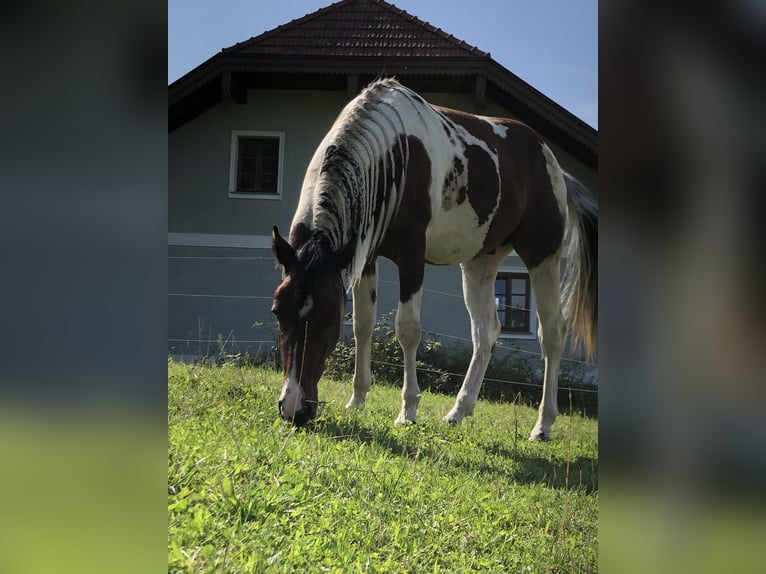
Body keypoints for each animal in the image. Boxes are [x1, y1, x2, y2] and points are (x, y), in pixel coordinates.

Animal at [272, 79, 600, 444]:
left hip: (542, 257)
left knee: (552, 333)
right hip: (480, 264)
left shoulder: (412, 256)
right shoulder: (363, 257)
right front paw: (357, 400)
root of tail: (554, 166)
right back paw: (459, 411)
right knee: (485, 333)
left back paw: (543, 425)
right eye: (277, 311)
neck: (392, 152)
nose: (293, 409)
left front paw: (408, 410)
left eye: (328, 317)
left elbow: (407, 330)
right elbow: (362, 326)